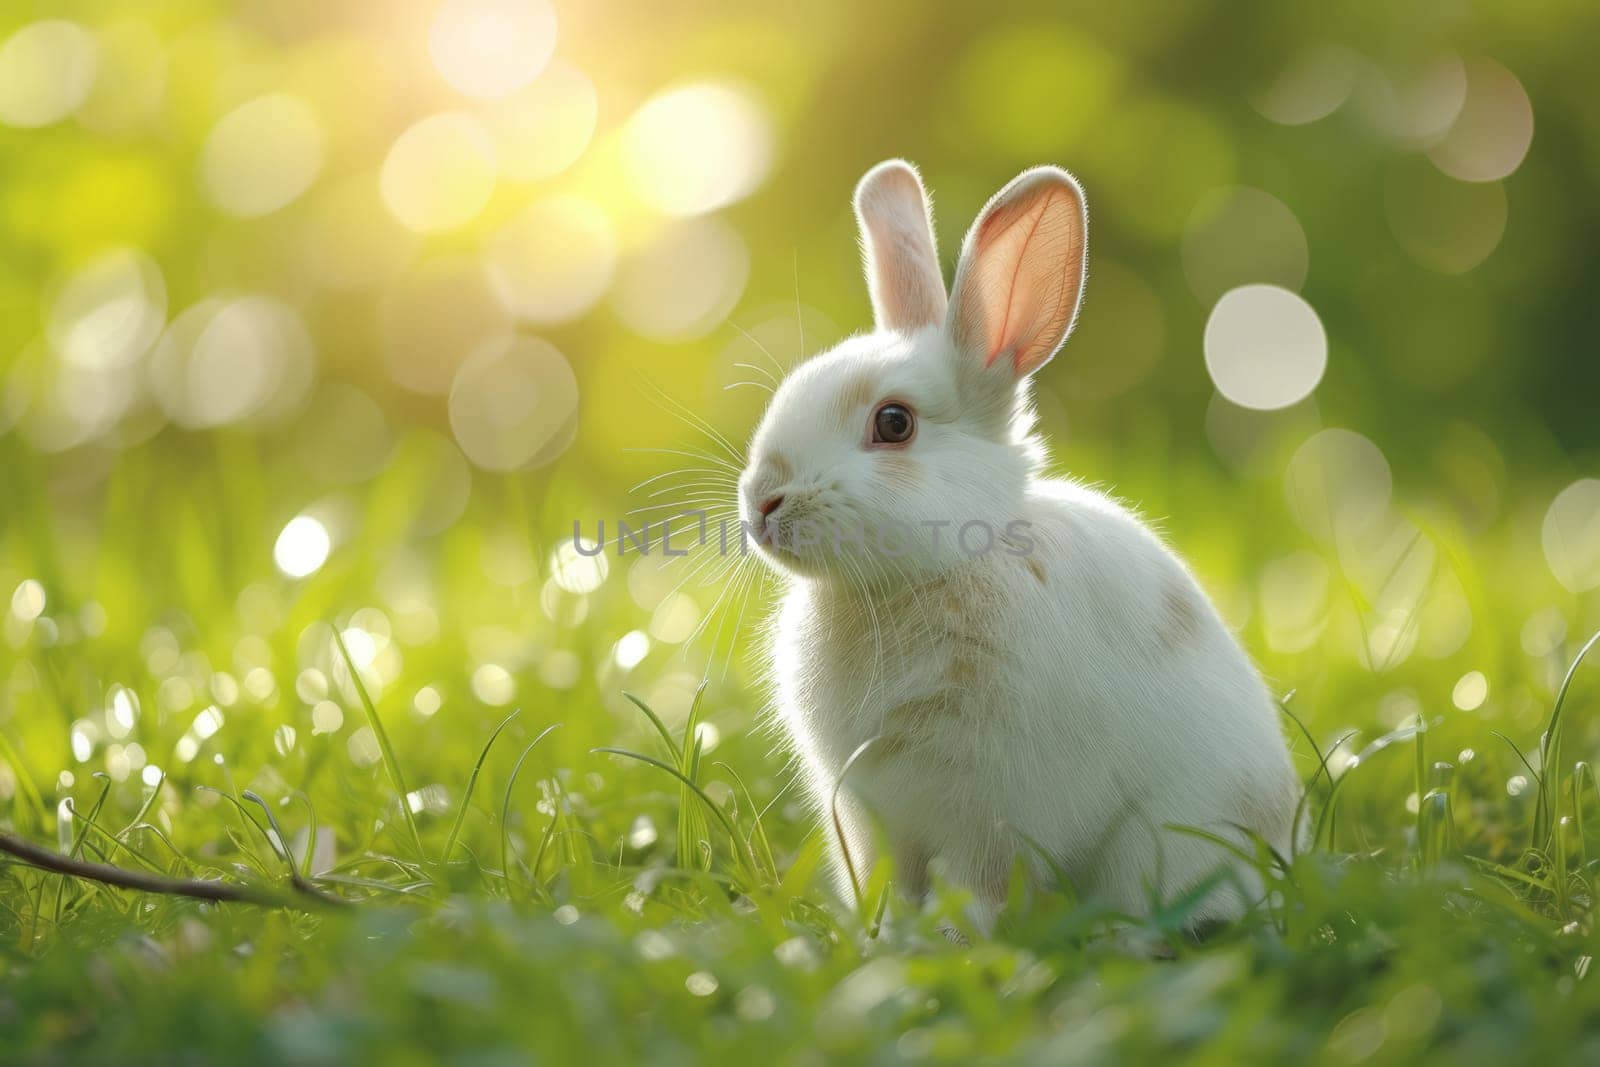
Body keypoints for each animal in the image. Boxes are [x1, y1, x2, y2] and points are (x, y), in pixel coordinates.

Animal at [736, 158, 1299, 934]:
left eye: (893, 423)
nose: (763, 502)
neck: (926, 577)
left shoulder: (992, 805)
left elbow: (981, 881)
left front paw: (954, 934)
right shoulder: (866, 807)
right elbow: (886, 879)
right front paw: (884, 933)